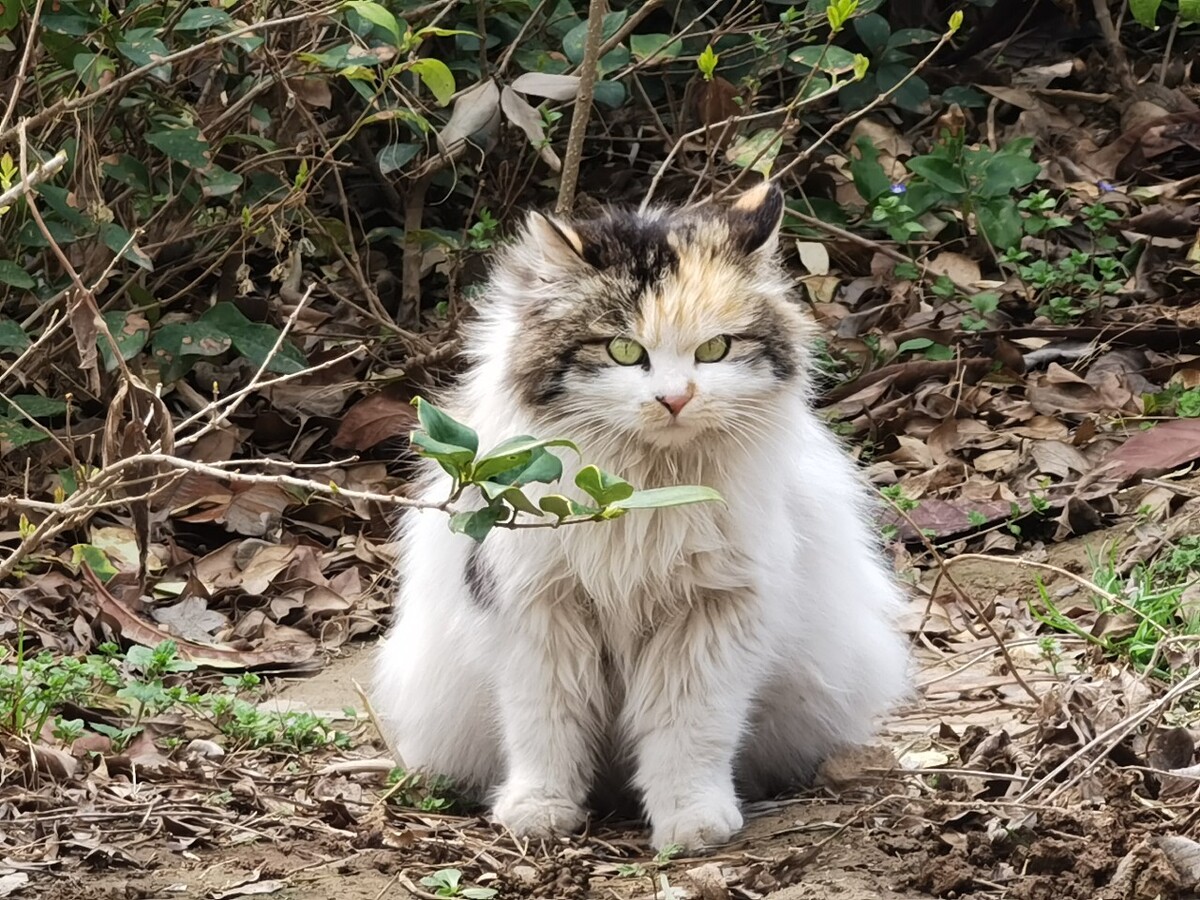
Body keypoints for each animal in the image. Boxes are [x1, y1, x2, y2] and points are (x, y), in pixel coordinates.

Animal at [374, 181, 907, 854]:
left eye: (714, 350)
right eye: (625, 351)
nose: (675, 399)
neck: (643, 494)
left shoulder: (712, 617)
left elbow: (690, 730)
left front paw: (692, 821)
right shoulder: (539, 616)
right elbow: (545, 726)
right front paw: (539, 811)